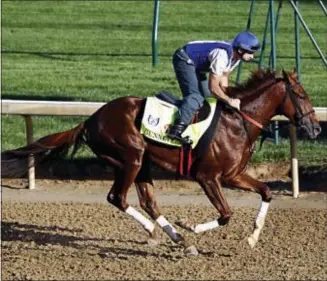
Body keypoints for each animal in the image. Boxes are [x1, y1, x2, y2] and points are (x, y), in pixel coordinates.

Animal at [1, 68, 322, 254]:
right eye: (301, 94)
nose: (316, 129)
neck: (237, 121)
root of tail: (91, 119)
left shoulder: (233, 175)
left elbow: (266, 191)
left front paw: (252, 238)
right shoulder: (208, 177)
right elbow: (226, 214)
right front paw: (190, 225)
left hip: (141, 162)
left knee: (148, 202)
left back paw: (177, 238)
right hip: (130, 158)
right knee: (117, 197)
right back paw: (159, 231)